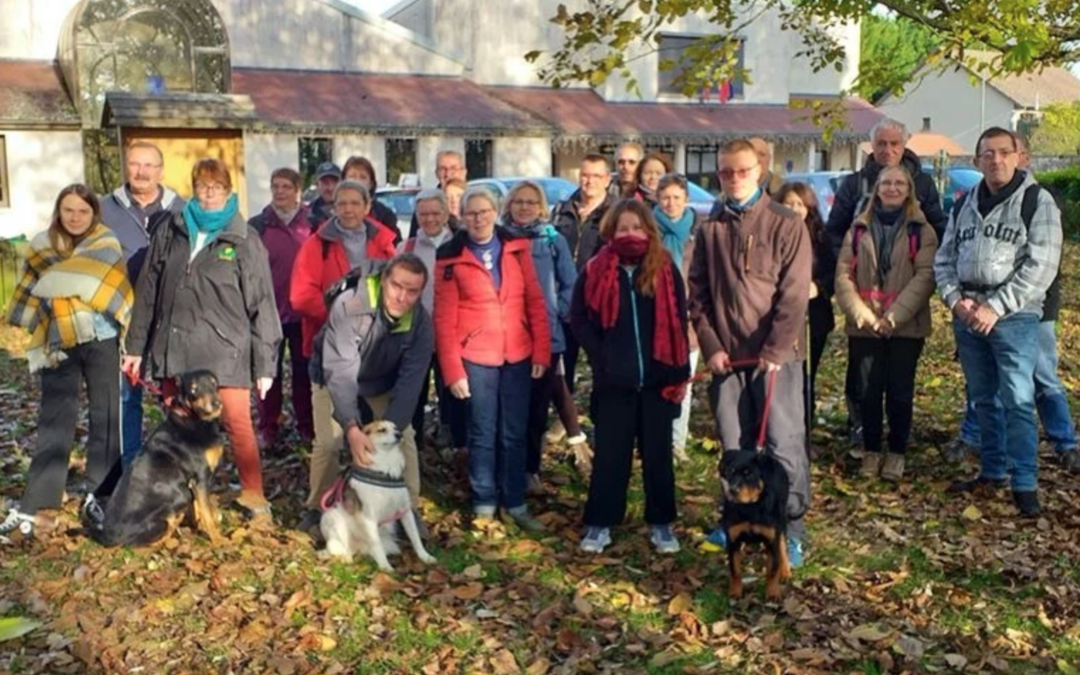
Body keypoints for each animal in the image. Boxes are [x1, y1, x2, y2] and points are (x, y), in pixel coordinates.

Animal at [89, 369, 230, 548]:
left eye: (214, 383)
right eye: (193, 389)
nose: (216, 403)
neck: (193, 418)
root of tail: (107, 537)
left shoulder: (194, 483)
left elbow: (198, 509)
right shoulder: (201, 477)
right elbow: (207, 513)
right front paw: (217, 540)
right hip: (174, 504)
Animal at [317, 421, 436, 570]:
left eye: (396, 428)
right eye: (382, 430)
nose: (399, 434)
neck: (386, 461)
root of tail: (359, 547)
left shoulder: (405, 511)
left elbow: (415, 537)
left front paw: (425, 556)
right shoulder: (369, 518)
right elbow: (376, 544)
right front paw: (385, 567)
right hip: (332, 517)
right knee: (342, 548)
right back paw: (346, 559)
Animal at [721, 449, 790, 596]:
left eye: (749, 474)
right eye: (730, 472)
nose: (732, 491)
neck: (750, 508)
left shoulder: (772, 540)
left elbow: (773, 570)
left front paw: (772, 593)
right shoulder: (733, 540)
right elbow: (735, 570)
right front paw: (735, 592)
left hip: (781, 521)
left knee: (783, 546)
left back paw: (786, 571)